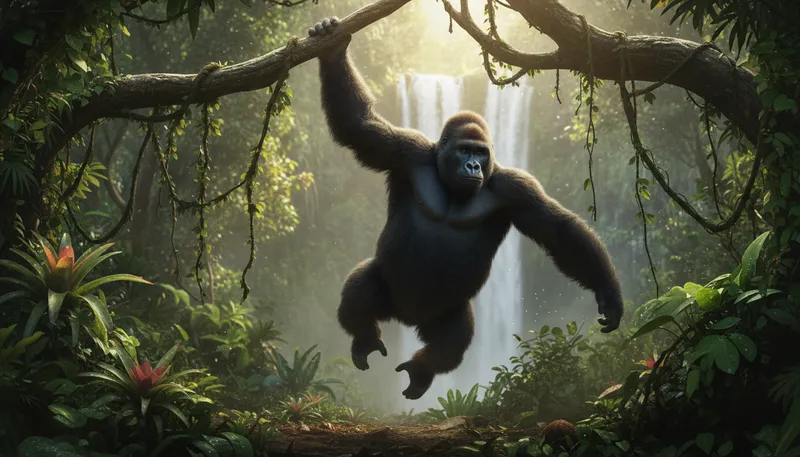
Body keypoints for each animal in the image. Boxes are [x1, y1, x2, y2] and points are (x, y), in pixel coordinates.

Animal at [309, 17, 623, 400]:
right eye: (464, 150)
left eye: (481, 153)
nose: (473, 166)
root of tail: (406, 318)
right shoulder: (405, 150)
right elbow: (357, 125)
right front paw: (332, 50)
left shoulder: (516, 188)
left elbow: (559, 230)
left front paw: (608, 292)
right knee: (361, 290)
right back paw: (365, 337)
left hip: (444, 313)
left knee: (452, 339)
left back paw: (422, 370)